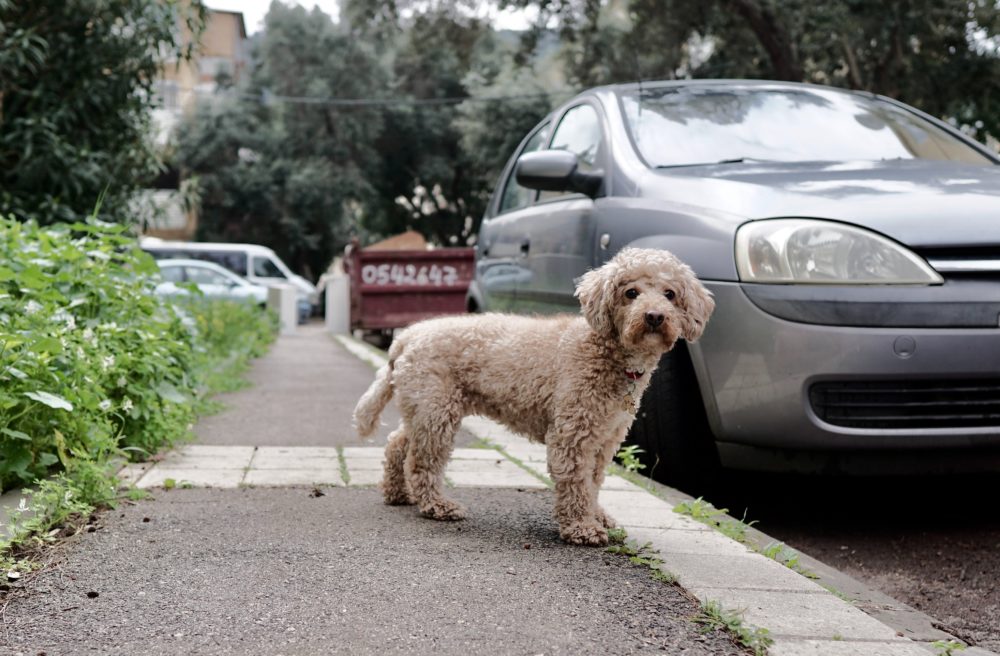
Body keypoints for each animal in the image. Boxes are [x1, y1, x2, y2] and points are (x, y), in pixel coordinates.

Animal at [352, 246, 712, 544]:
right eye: (630, 293)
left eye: (670, 294)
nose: (654, 316)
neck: (604, 350)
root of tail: (406, 337)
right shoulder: (573, 433)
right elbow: (577, 483)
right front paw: (582, 527)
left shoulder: (606, 436)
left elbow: (593, 481)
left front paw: (596, 516)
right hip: (436, 408)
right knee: (421, 460)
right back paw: (436, 505)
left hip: (424, 405)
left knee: (398, 442)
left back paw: (398, 493)